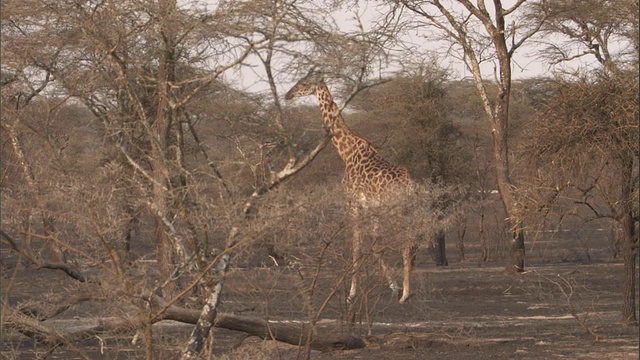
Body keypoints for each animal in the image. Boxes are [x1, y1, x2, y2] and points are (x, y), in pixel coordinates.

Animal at [286, 71, 418, 304]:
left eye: (304, 83)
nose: (287, 95)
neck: (346, 152)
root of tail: (409, 184)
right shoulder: (372, 207)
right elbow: (374, 245)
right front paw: (392, 286)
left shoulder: (353, 201)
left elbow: (356, 245)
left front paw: (351, 293)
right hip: (406, 209)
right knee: (411, 241)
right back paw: (403, 290)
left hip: (396, 211)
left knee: (405, 242)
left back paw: (405, 294)